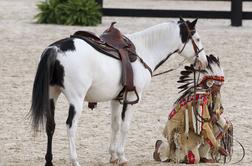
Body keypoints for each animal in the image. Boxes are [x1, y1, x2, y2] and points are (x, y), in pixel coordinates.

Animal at [29, 17, 207, 165]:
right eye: (197, 39)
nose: (204, 62)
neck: (144, 50)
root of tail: (56, 49)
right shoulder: (133, 98)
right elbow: (125, 125)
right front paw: (121, 156)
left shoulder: (116, 99)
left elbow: (115, 125)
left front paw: (113, 156)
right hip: (76, 100)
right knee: (70, 127)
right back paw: (74, 160)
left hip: (52, 95)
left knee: (50, 125)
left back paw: (49, 161)